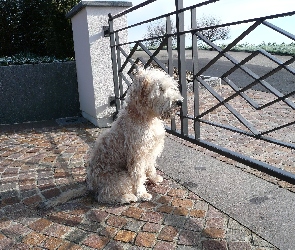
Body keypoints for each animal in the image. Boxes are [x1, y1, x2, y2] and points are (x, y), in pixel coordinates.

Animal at [86, 66, 183, 203]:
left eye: (170, 87)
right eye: (160, 89)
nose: (179, 102)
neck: (145, 118)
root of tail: (91, 186)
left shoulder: (151, 151)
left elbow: (150, 167)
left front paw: (154, 178)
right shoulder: (137, 156)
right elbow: (138, 176)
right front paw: (142, 193)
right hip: (121, 177)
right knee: (104, 195)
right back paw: (128, 197)